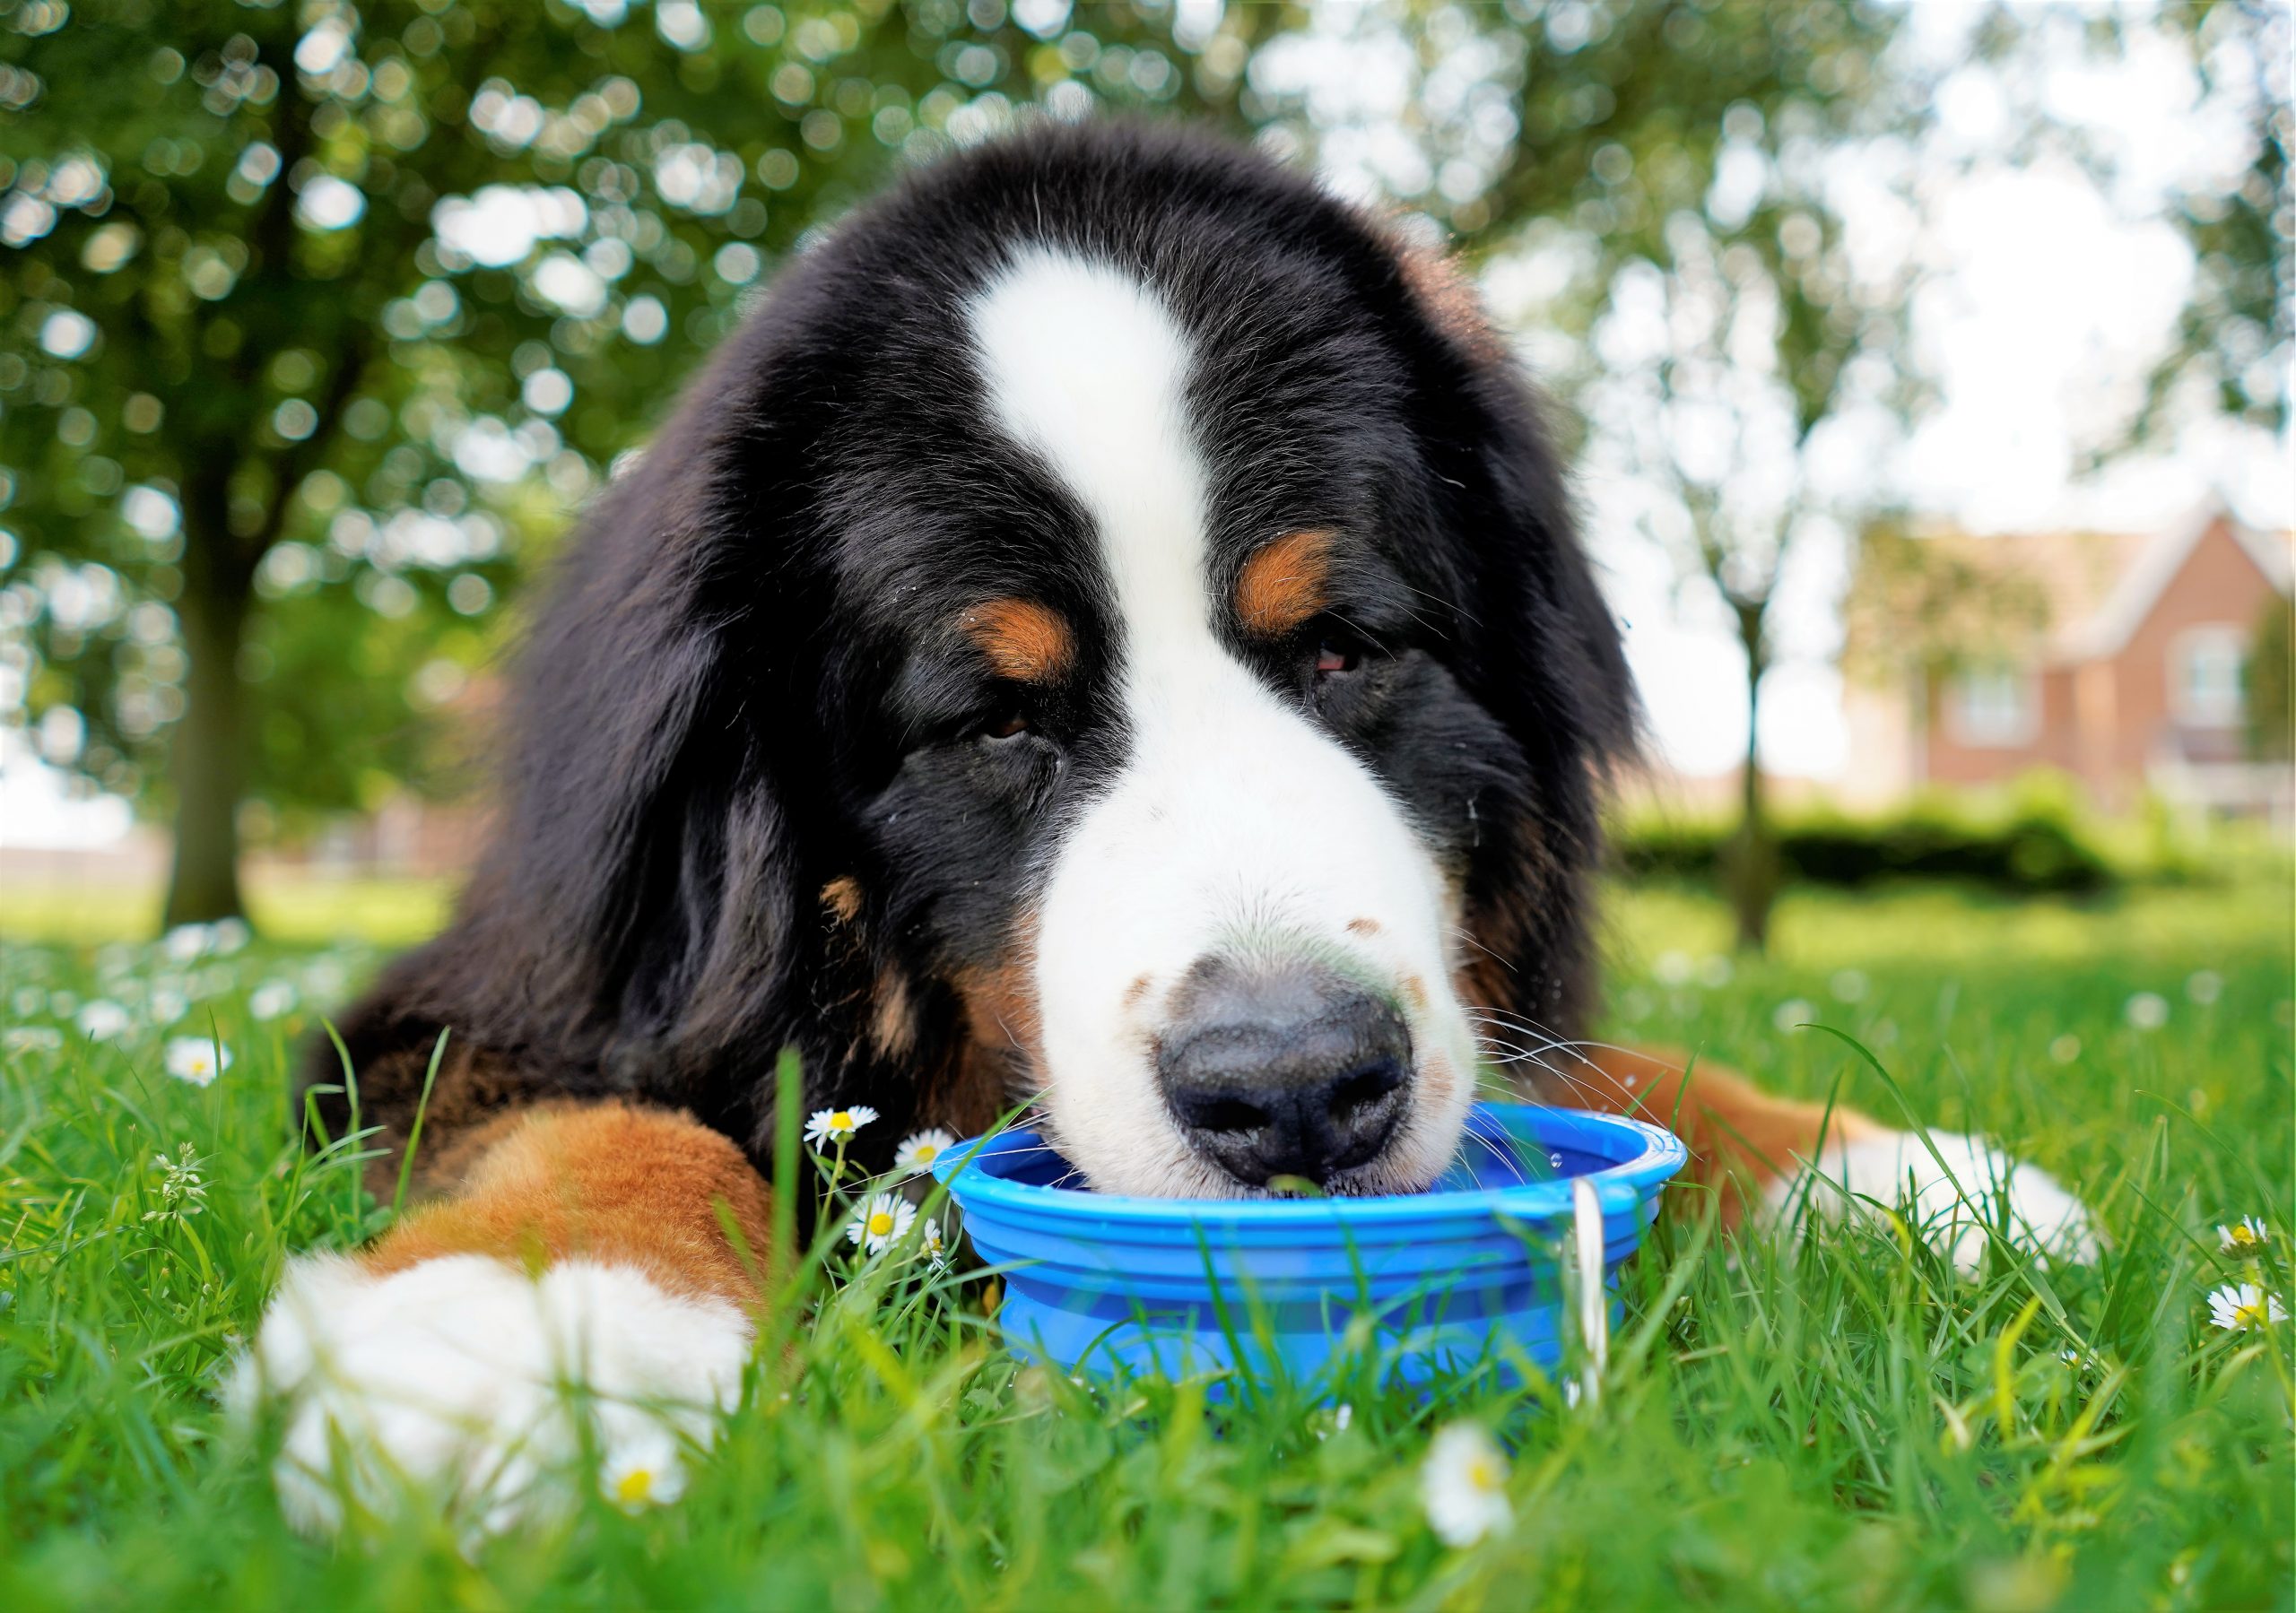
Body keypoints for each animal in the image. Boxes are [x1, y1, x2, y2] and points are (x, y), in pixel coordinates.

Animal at [232, 119, 2102, 1532]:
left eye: (1342, 646)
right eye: (998, 717)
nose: (1297, 1088)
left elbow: (1604, 1070)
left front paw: (1882, 1171)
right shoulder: (471, 1008)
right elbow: (613, 1122)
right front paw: (528, 1330)